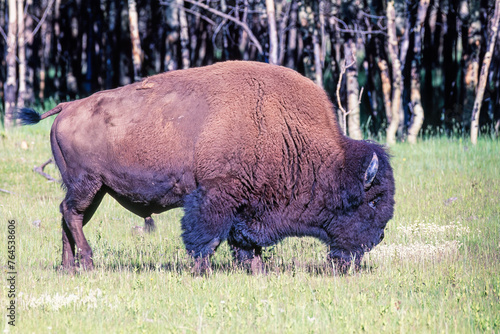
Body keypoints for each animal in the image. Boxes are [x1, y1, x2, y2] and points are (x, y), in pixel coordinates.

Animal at [18, 60, 394, 274]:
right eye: (371, 202)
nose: (377, 239)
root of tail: (68, 107)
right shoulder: (216, 196)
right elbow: (208, 237)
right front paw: (202, 271)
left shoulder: (246, 205)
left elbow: (245, 243)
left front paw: (256, 271)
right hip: (88, 184)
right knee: (71, 214)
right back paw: (89, 263)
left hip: (92, 189)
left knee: (69, 216)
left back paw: (70, 269)